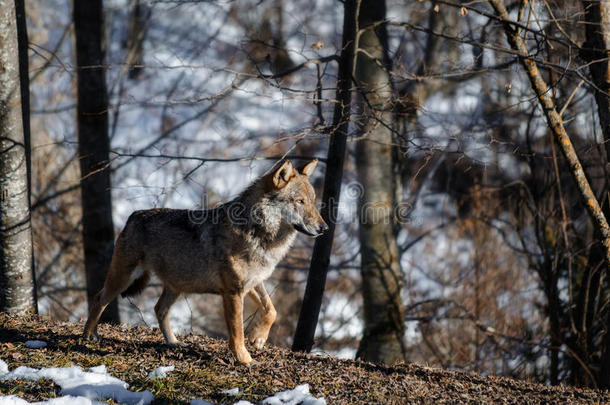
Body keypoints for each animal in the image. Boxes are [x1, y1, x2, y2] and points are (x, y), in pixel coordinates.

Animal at [84, 159, 328, 362]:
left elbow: (271, 310)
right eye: (300, 201)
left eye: (313, 202)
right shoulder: (233, 291)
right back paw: (88, 336)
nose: (324, 228)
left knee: (158, 309)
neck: (259, 235)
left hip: (176, 286)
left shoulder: (254, 282)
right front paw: (245, 360)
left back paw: (172, 342)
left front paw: (258, 338)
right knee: (99, 299)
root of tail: (134, 215)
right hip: (123, 279)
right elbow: (237, 332)